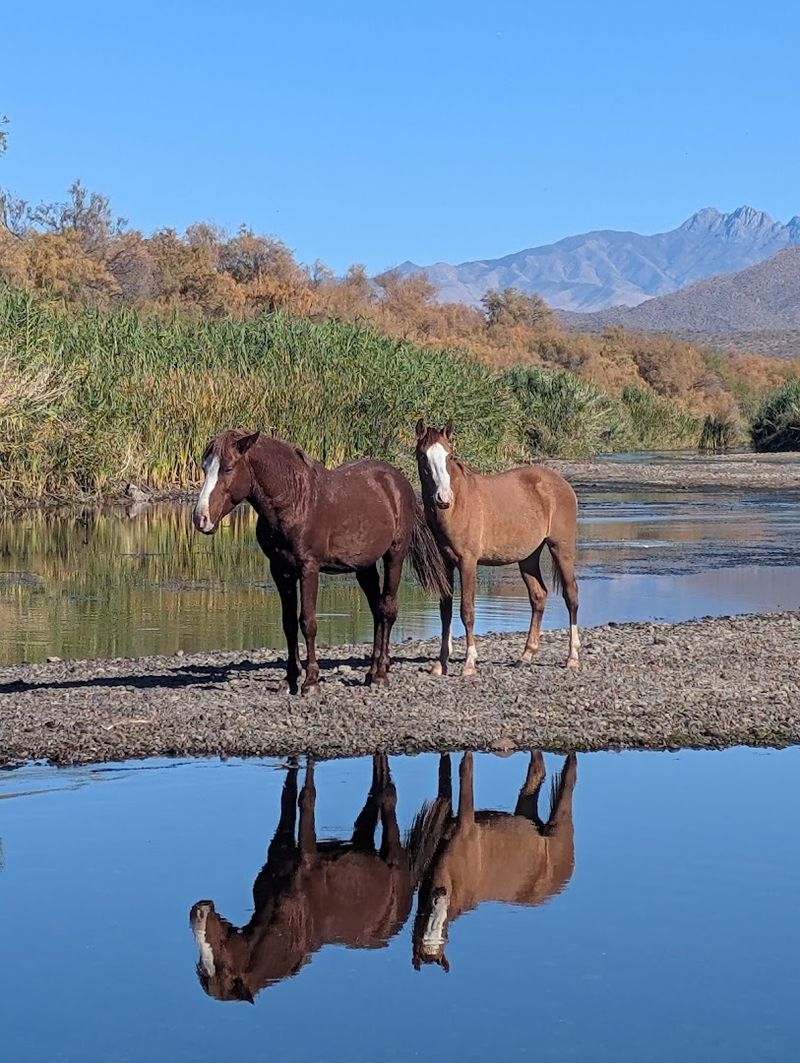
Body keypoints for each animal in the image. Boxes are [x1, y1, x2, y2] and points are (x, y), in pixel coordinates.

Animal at [190, 755, 437, 1002]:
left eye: (223, 966)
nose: (197, 911)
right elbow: (288, 795)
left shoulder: (307, 852)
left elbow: (306, 797)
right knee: (375, 792)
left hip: (393, 854)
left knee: (388, 796)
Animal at [192, 429, 449, 694]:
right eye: (204, 467)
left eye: (228, 468)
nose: (200, 518)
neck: (294, 501)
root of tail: (399, 481)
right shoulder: (280, 570)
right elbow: (288, 623)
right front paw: (290, 678)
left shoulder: (309, 568)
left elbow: (308, 622)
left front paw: (311, 680)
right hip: (364, 567)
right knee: (377, 610)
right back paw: (372, 670)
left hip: (394, 556)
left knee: (387, 609)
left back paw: (379, 674)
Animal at [412, 750, 577, 973]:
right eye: (422, 934)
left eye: (443, 931)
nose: (439, 894)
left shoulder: (466, 824)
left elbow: (465, 770)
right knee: (538, 769)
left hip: (560, 822)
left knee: (569, 778)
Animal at [415, 419, 580, 674]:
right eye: (423, 456)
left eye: (449, 456)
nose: (443, 498)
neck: (457, 505)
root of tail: (561, 483)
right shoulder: (446, 563)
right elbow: (445, 611)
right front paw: (440, 664)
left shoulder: (468, 562)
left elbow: (467, 610)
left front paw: (469, 664)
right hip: (528, 556)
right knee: (538, 596)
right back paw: (526, 655)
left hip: (561, 547)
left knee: (571, 595)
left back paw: (572, 657)